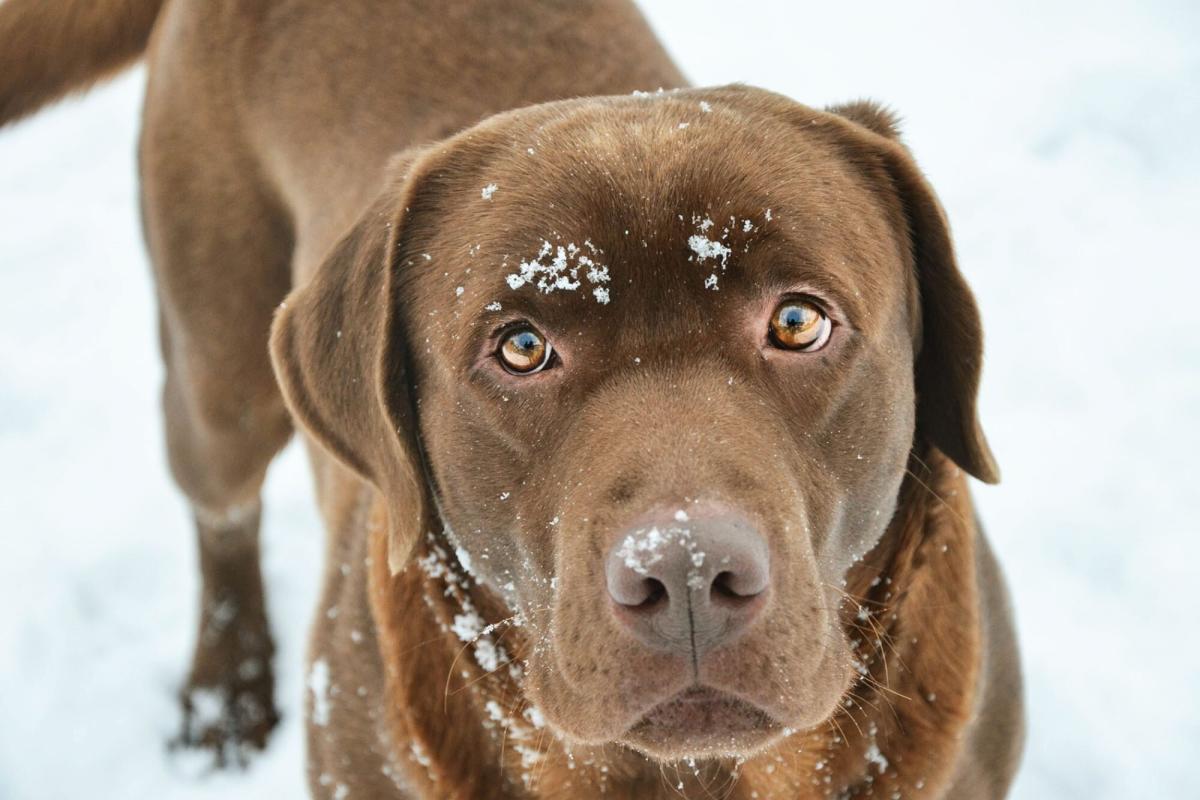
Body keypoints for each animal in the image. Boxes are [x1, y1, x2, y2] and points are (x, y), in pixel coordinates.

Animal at [2, 0, 1022, 796]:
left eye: (800, 322)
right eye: (523, 348)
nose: (688, 575)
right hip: (218, 365)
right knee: (220, 507)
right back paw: (226, 697)